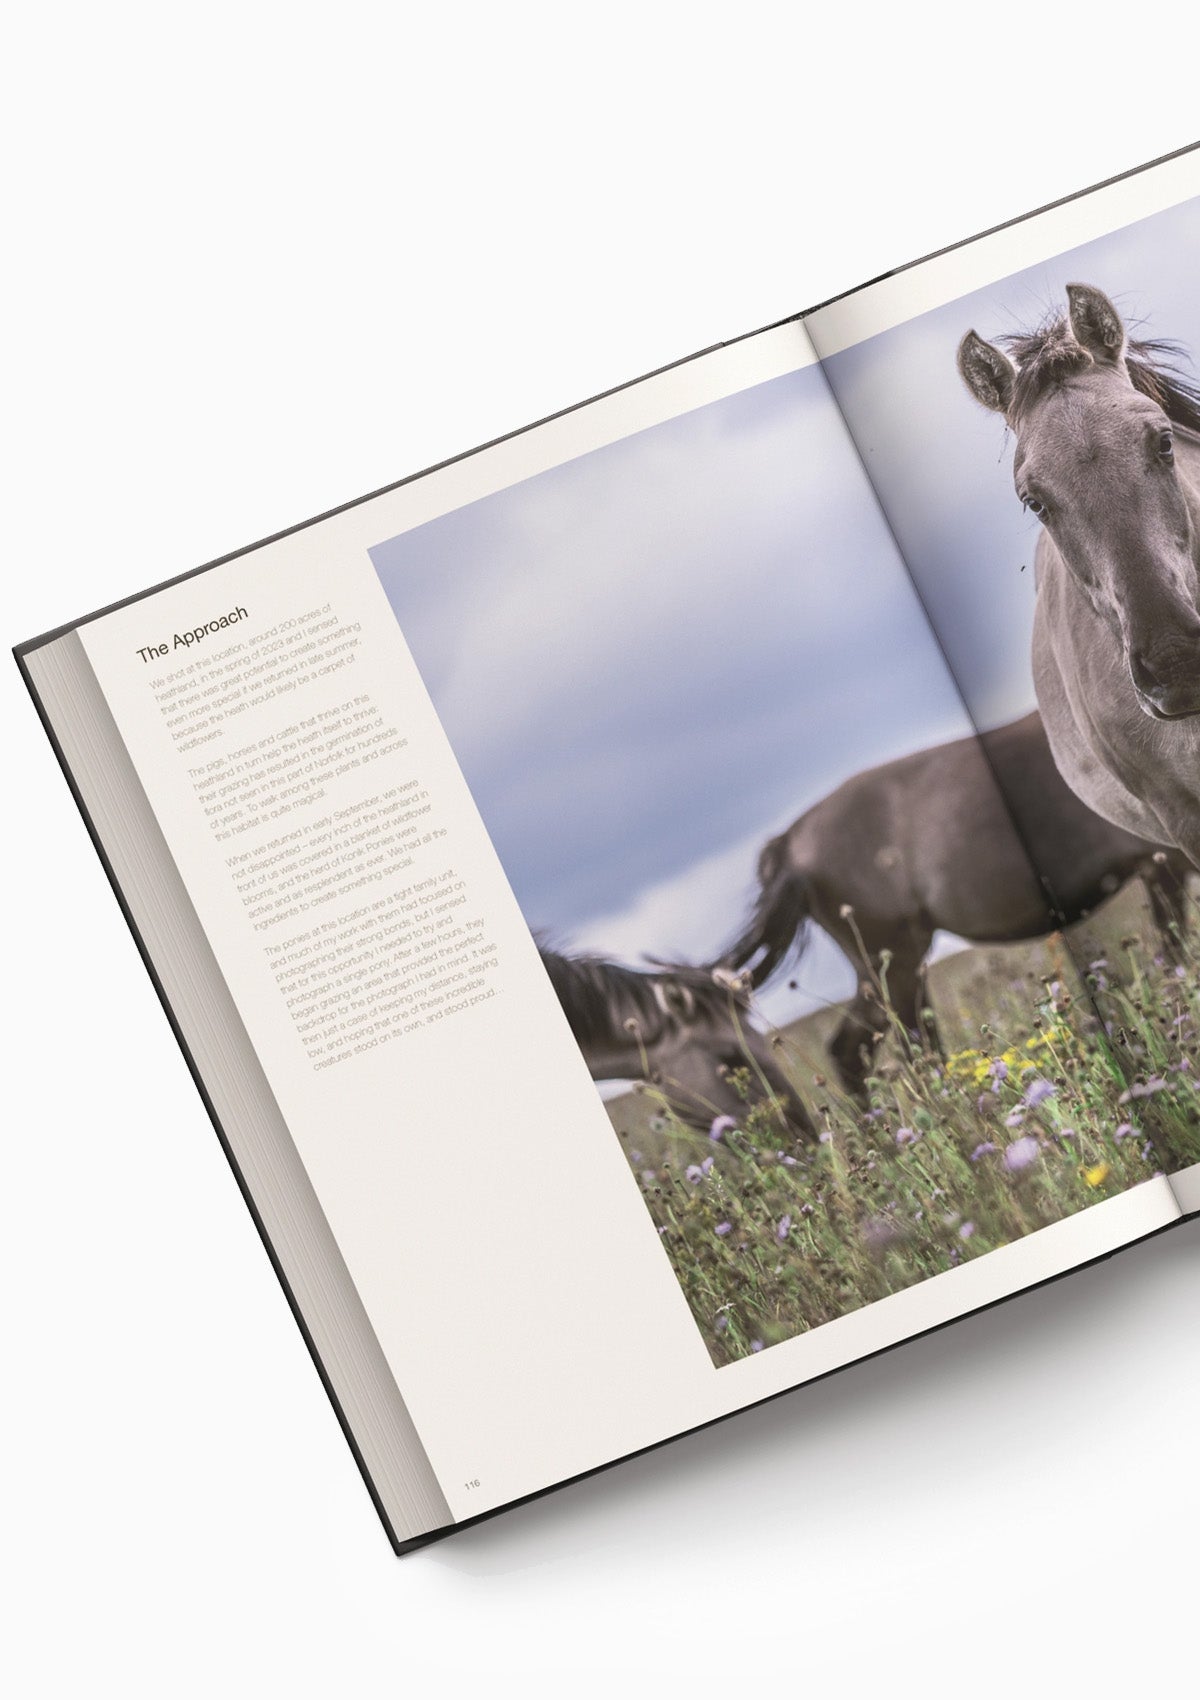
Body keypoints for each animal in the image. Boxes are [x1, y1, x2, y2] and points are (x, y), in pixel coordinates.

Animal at [715, 711, 1191, 1100]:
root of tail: (790, 841)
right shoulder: (1164, 865)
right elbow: (1176, 965)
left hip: (888, 969)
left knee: (864, 1053)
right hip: (893, 963)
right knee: (900, 1052)